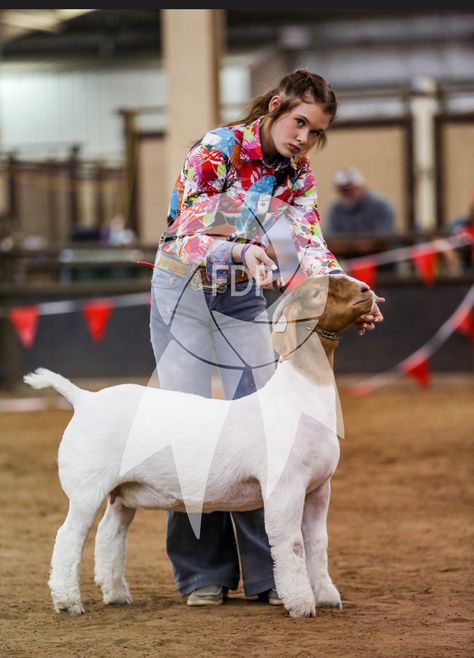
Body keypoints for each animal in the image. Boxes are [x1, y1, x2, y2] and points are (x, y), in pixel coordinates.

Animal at [25, 272, 374, 616]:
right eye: (318, 293)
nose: (367, 291)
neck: (299, 394)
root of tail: (85, 399)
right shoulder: (284, 487)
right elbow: (293, 545)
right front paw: (301, 604)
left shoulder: (319, 488)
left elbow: (318, 543)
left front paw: (327, 596)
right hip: (86, 486)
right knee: (68, 537)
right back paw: (68, 601)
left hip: (123, 491)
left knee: (110, 534)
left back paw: (117, 593)